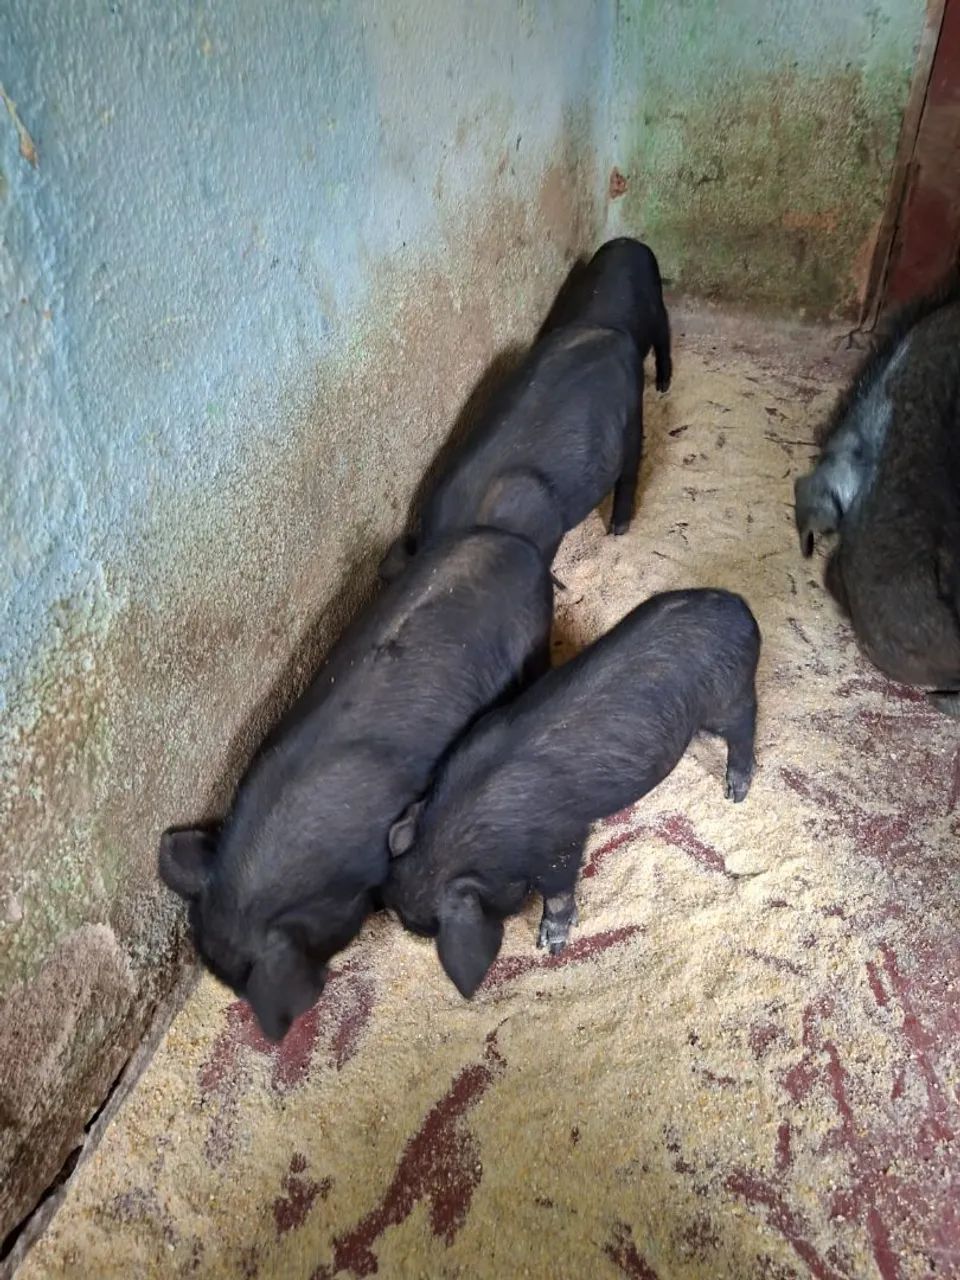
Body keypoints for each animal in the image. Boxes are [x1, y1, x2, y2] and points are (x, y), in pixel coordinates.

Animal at [383, 588, 760, 999]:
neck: (464, 835)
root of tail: (741, 608)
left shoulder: (560, 840)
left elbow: (560, 886)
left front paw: (550, 945)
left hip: (729, 696)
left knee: (745, 724)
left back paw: (736, 791)